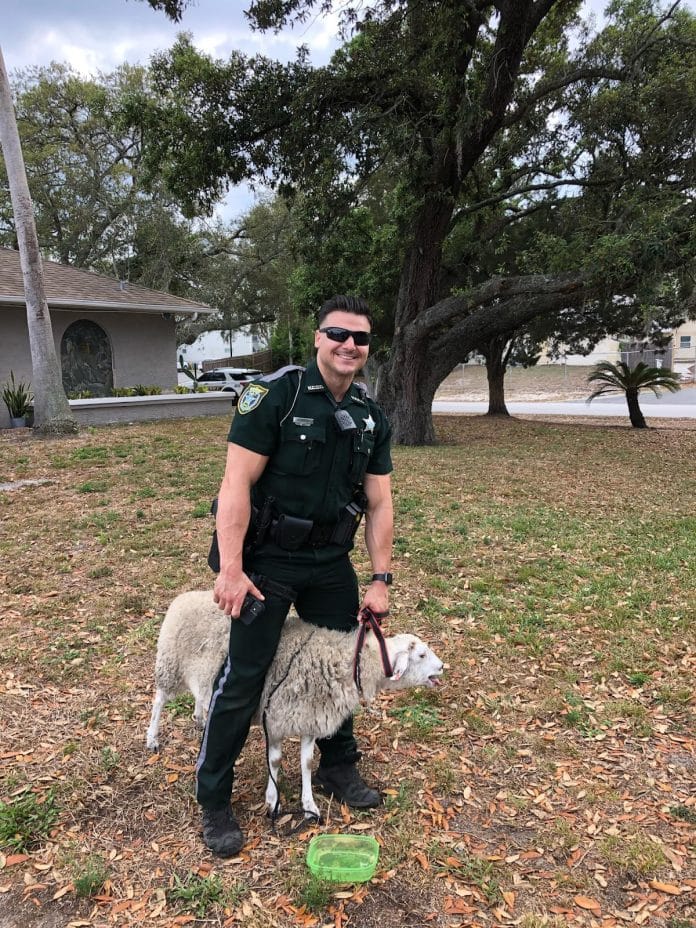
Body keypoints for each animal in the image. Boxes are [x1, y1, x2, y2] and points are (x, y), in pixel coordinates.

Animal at [145, 592, 446, 816]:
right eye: (421, 655)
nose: (442, 667)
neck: (344, 663)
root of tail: (184, 596)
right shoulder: (276, 719)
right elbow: (275, 761)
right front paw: (272, 800)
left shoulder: (310, 718)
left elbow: (307, 763)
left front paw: (309, 805)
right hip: (169, 664)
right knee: (159, 699)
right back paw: (152, 739)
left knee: (201, 696)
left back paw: (200, 719)